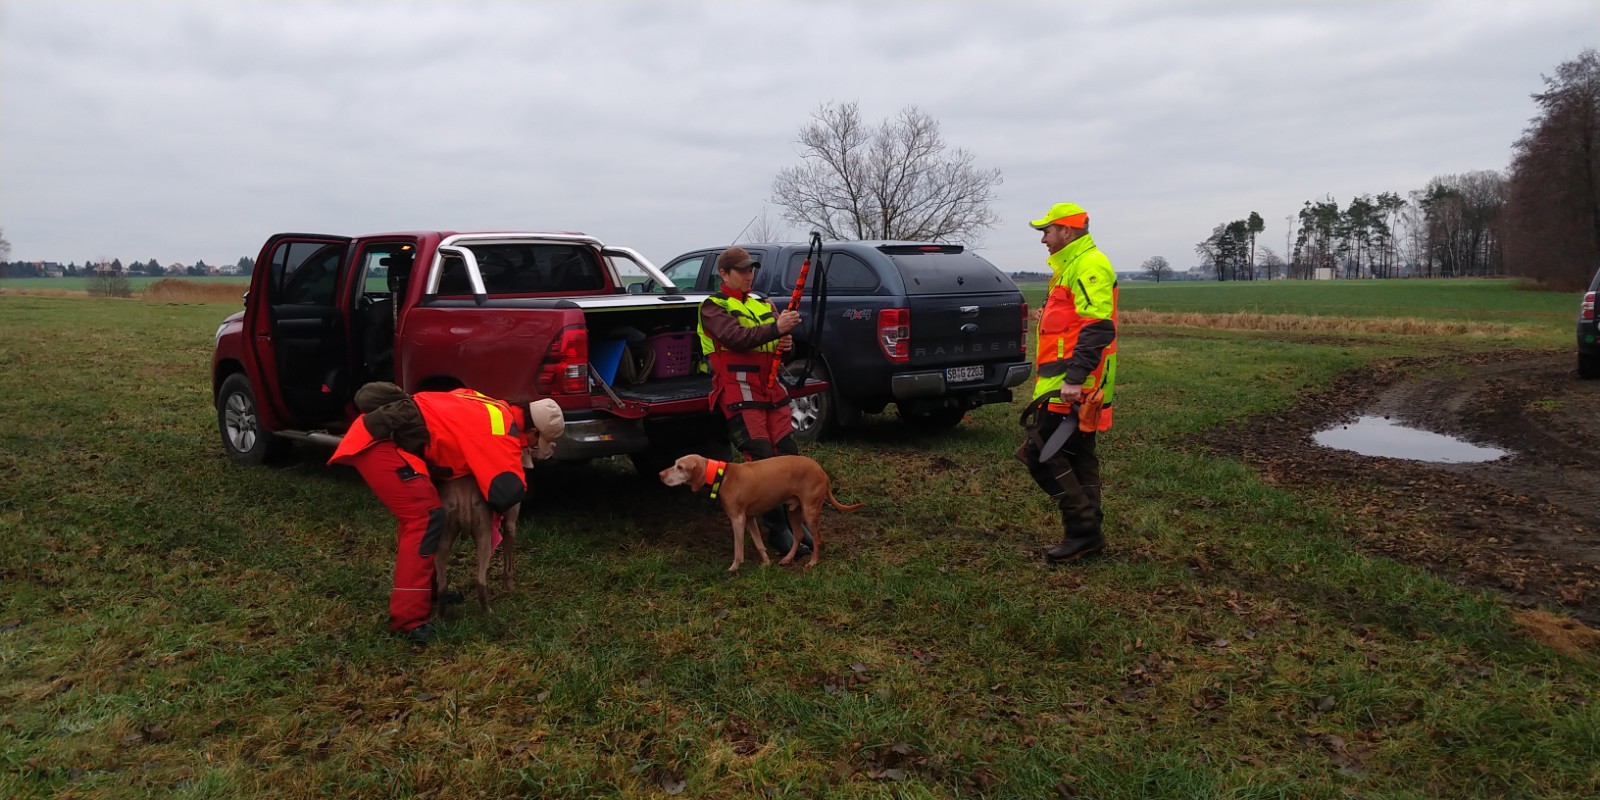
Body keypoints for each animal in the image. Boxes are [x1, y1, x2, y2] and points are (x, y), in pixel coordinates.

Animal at [432, 473, 518, 617]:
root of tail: (462, 497)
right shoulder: (510, 526)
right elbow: (508, 566)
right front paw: (510, 590)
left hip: (442, 541)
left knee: (442, 587)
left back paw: (440, 617)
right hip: (484, 536)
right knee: (480, 582)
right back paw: (488, 613)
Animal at [659, 454, 870, 572]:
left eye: (680, 467)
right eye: (674, 463)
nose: (660, 474)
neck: (723, 475)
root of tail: (822, 471)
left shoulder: (738, 519)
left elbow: (738, 549)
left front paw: (734, 568)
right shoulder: (750, 518)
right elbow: (759, 543)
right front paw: (767, 562)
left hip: (809, 511)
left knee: (817, 539)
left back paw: (812, 563)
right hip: (794, 510)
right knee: (798, 535)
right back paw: (787, 559)